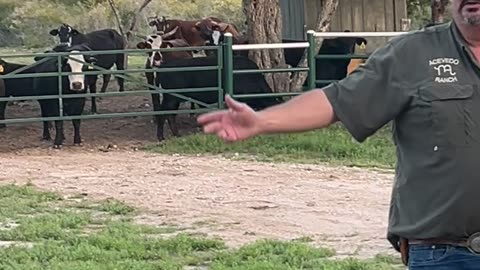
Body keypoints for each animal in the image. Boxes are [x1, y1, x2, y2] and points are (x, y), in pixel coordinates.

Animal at [153, 53, 282, 140]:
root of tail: (164, 66)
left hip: (174, 99)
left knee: (170, 114)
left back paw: (176, 134)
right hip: (171, 98)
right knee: (164, 113)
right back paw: (161, 137)